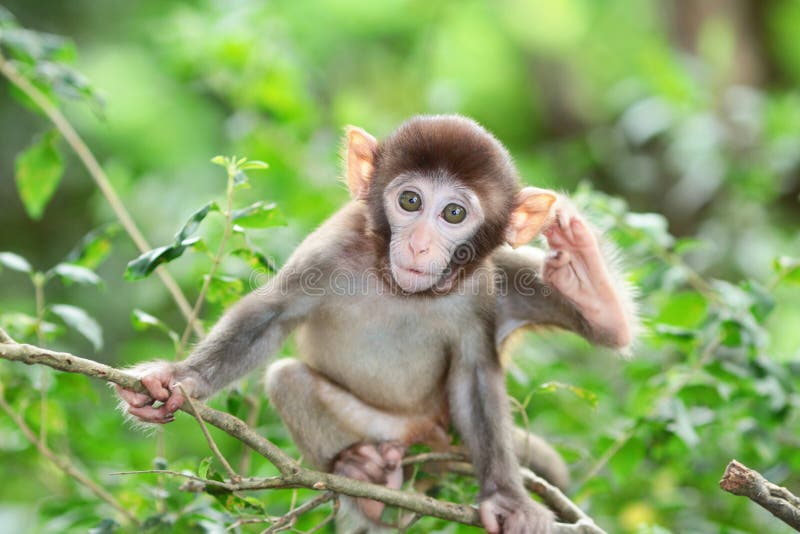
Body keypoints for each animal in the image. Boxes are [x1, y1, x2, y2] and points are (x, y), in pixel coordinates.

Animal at [119, 115, 636, 532]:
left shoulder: (479, 288)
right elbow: (269, 317)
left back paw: (592, 292)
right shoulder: (332, 247)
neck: (400, 289)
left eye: (453, 213)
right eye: (410, 201)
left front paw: (506, 499)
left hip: (445, 427)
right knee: (288, 379)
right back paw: (365, 481)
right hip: (386, 430)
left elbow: (474, 375)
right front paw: (179, 378)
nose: (420, 245)